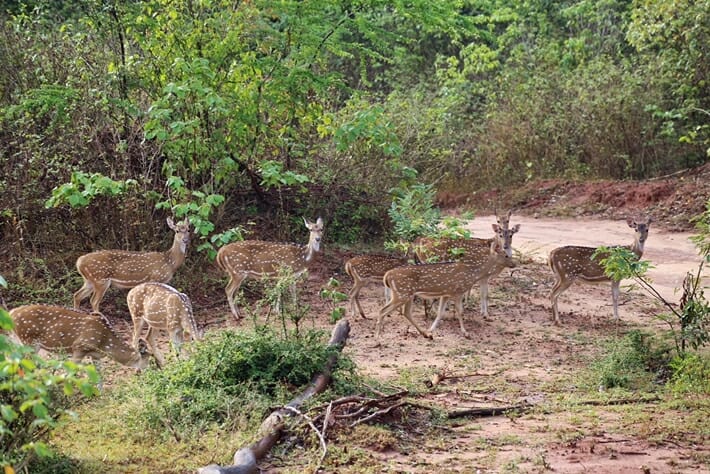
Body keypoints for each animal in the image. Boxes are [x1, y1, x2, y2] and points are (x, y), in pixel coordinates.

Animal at [8, 304, 154, 374]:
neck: (104, 343)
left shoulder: (95, 355)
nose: (147, 372)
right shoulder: (79, 346)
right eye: (148, 357)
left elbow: (99, 375)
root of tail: (11, 313)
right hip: (28, 340)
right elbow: (72, 371)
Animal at [378, 243, 516, 338]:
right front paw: (465, 332)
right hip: (402, 293)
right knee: (382, 310)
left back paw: (424, 334)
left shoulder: (445, 293)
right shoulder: (458, 291)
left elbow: (440, 313)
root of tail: (387, 275)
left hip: (407, 294)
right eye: (506, 255)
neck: (472, 274)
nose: (514, 264)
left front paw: (431, 330)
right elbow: (460, 312)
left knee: (406, 312)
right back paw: (378, 337)